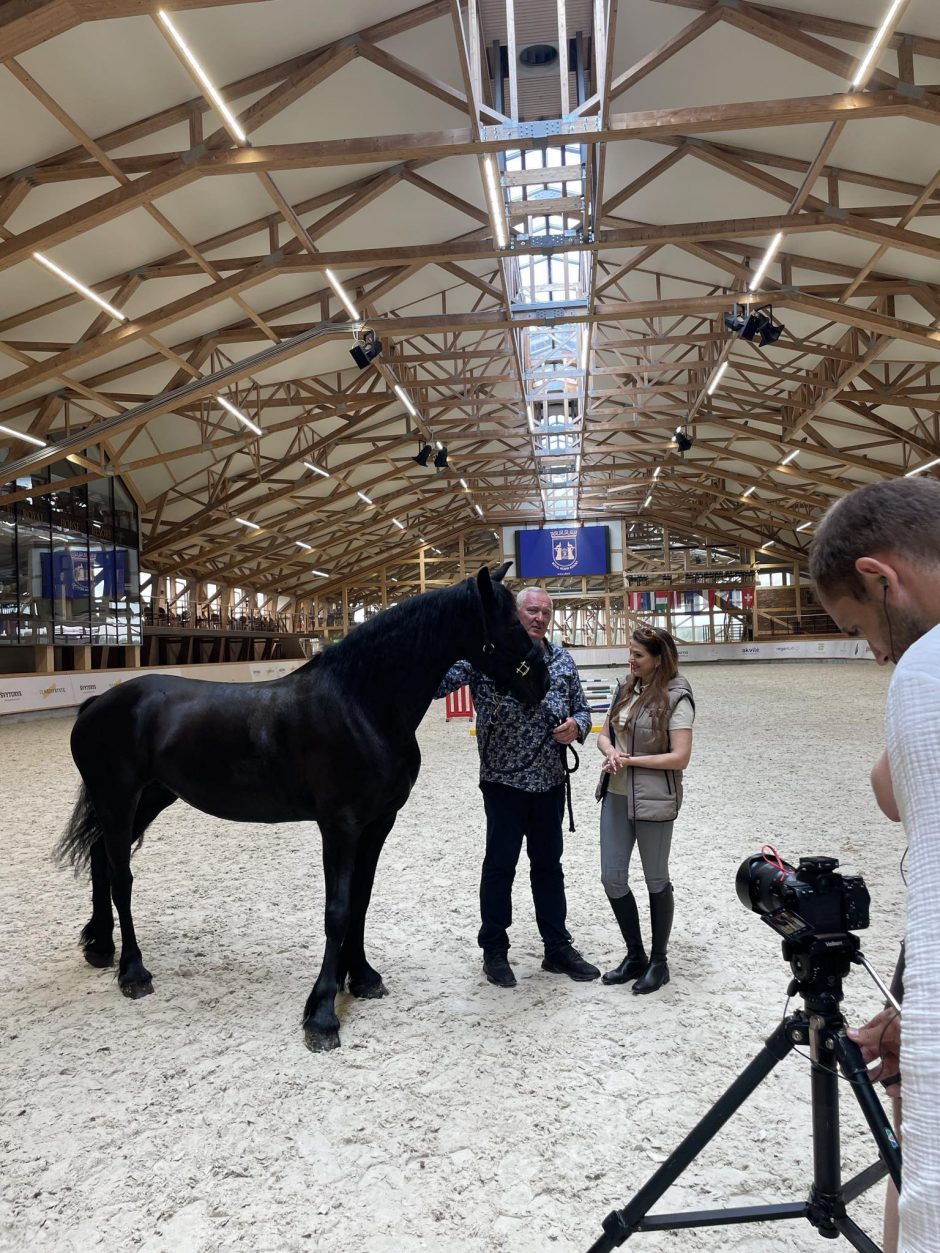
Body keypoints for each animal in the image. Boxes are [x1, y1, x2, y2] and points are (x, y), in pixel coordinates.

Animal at [58, 566, 548, 1047]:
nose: (542, 681)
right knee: (121, 877)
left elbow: (361, 900)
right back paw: (133, 972)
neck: (363, 704)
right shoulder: (340, 826)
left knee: (101, 861)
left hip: (150, 797)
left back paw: (100, 947)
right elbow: (338, 911)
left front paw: (362, 978)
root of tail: (97, 704)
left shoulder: (377, 824)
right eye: (511, 623)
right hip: (118, 798)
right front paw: (323, 1013)